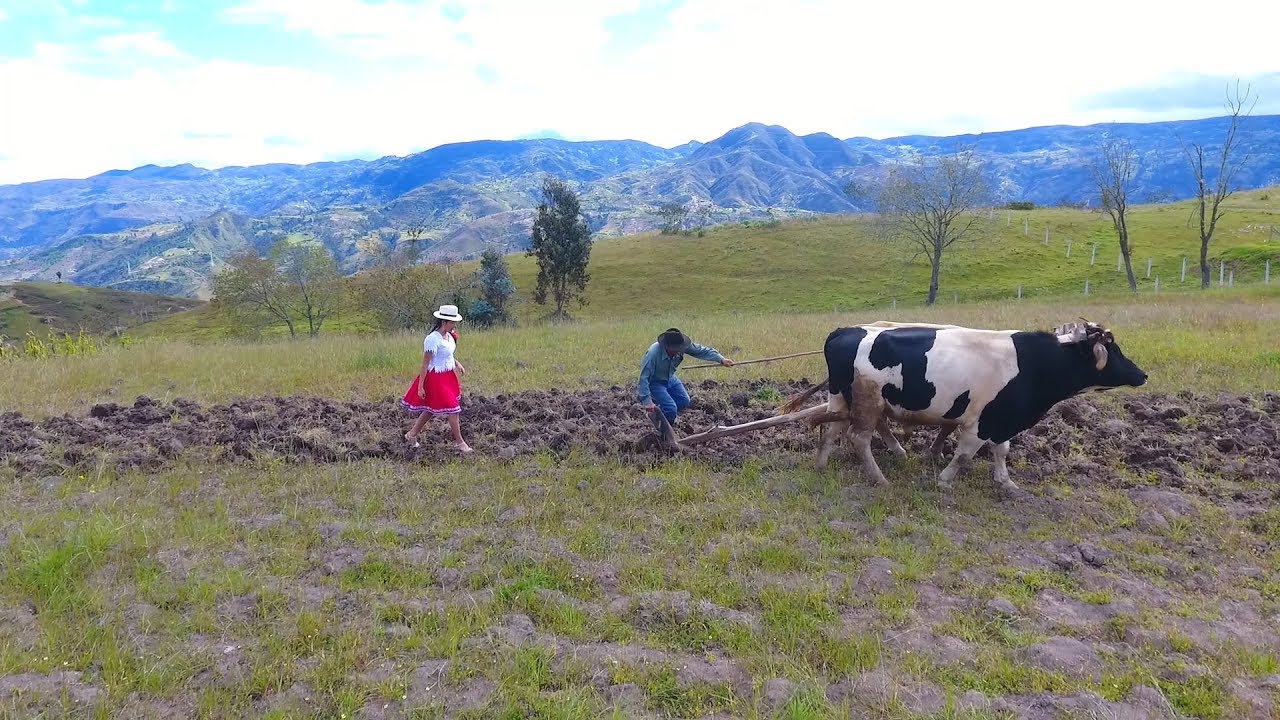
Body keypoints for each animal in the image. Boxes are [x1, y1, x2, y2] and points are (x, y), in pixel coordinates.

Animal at [819, 320, 1152, 491]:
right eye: (1114, 351)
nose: (1143, 374)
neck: (1034, 363)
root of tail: (846, 331)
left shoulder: (1003, 418)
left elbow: (1001, 450)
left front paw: (1005, 481)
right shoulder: (980, 421)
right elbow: (965, 453)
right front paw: (945, 480)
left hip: (841, 397)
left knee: (832, 429)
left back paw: (824, 461)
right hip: (868, 401)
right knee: (859, 437)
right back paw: (879, 478)